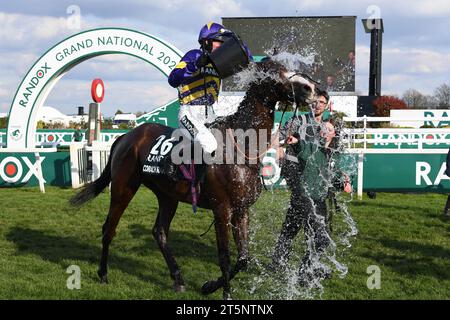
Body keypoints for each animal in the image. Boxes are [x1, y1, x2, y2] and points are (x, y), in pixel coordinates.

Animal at [70, 59, 314, 300]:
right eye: (273, 71)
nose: (309, 87)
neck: (240, 147)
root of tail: (125, 137)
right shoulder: (221, 209)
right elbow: (225, 256)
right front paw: (225, 294)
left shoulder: (241, 209)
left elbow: (243, 258)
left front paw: (209, 286)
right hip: (123, 188)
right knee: (109, 228)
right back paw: (103, 273)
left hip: (168, 196)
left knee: (159, 232)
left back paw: (178, 278)